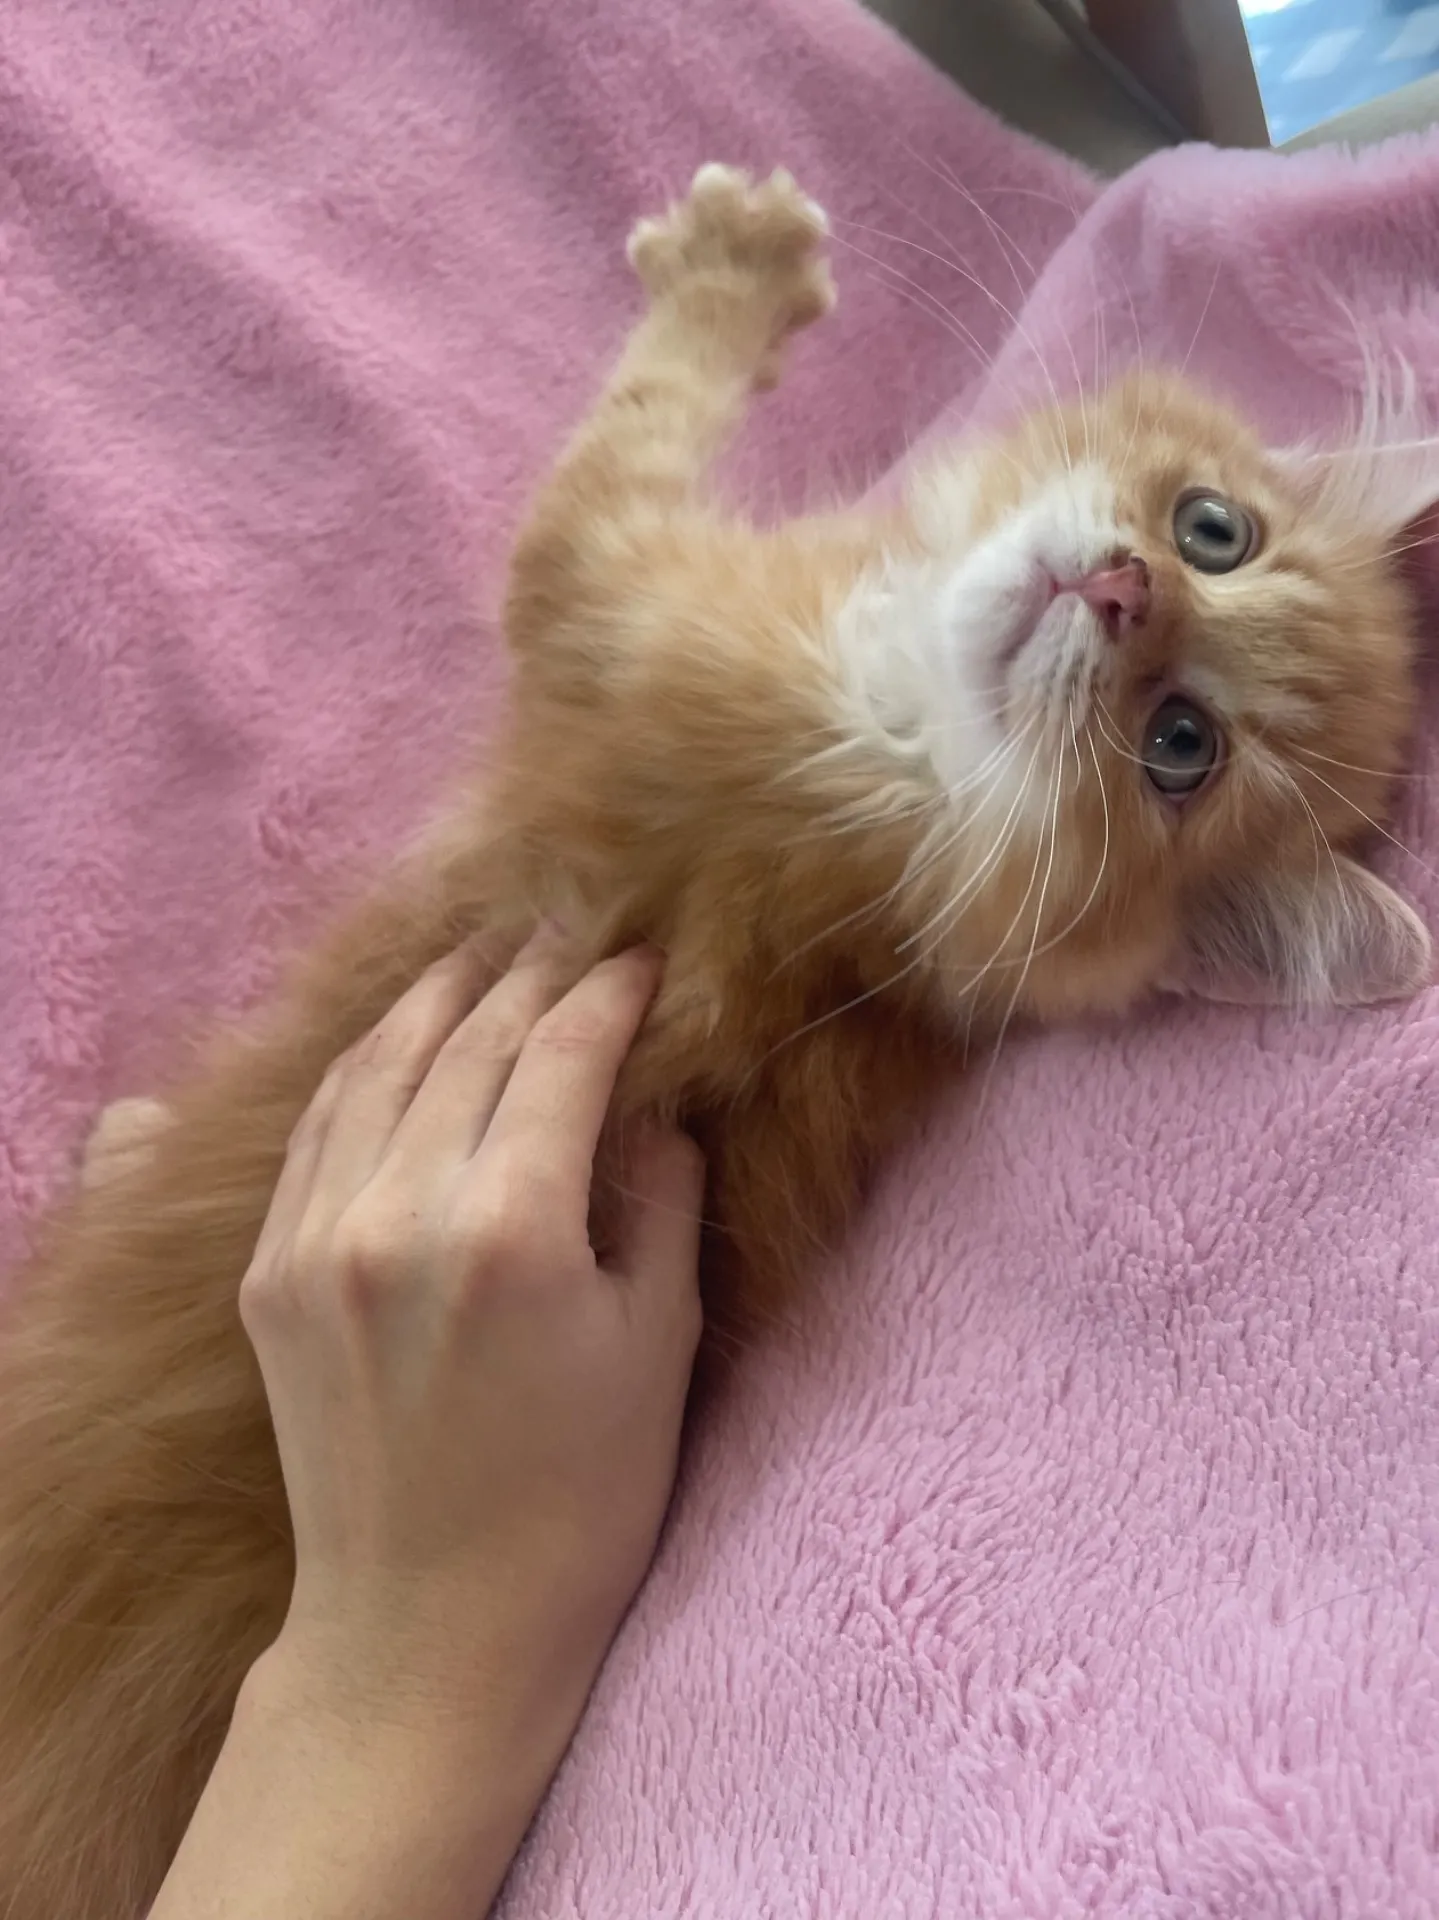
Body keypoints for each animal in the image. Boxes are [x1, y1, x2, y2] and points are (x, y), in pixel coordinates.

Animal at [0, 162, 1434, 1920]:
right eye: (1210, 532)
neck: (893, 792)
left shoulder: (608, 593)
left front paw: (734, 266)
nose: (1120, 591)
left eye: (1179, 750)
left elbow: (632, 417)